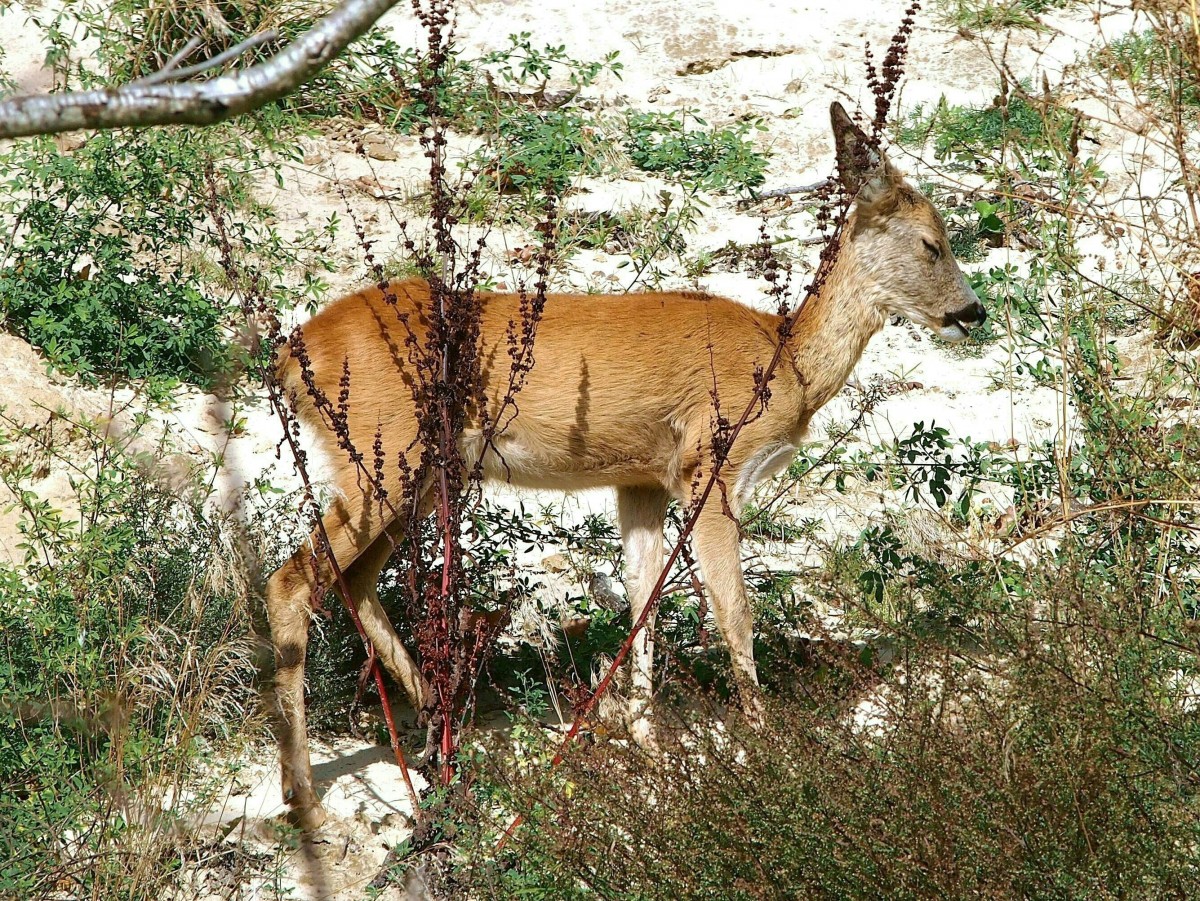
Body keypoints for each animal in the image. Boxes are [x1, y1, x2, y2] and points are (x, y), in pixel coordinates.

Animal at [270, 101, 984, 830]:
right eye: (932, 242)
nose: (973, 311)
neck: (788, 363)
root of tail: (294, 356)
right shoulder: (712, 465)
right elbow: (734, 608)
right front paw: (769, 748)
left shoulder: (640, 479)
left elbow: (643, 597)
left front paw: (646, 738)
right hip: (385, 453)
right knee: (291, 580)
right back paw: (305, 795)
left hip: (407, 471)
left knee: (352, 581)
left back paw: (445, 729)